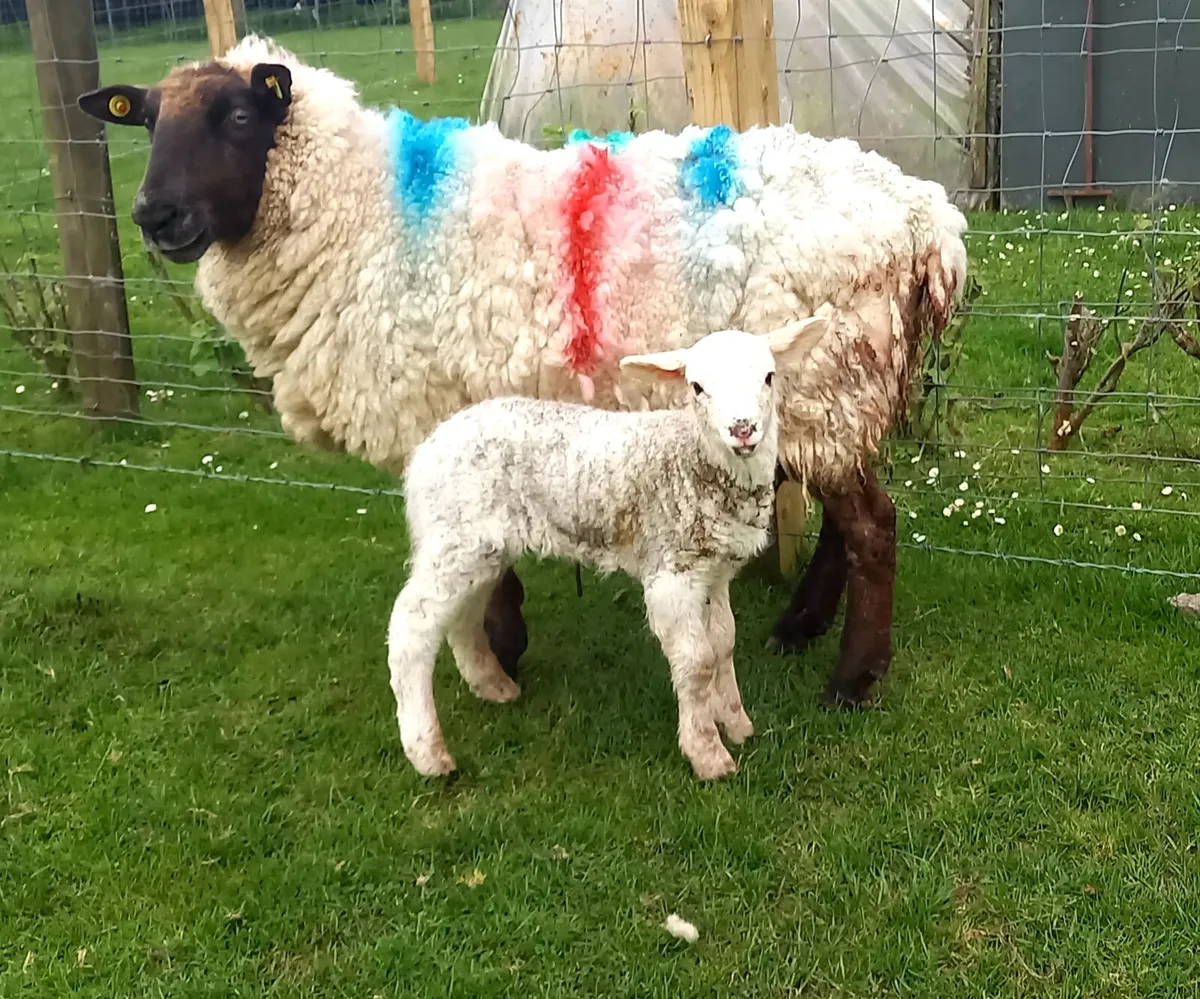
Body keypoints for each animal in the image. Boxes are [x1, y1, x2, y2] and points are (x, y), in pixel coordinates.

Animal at [77, 34, 969, 709]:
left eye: (236, 116)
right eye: (145, 121)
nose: (155, 215)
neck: (364, 218)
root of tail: (928, 218)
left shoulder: (448, 413)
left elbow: (491, 560)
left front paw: (498, 655)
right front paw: (502, 649)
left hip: (831, 378)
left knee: (873, 527)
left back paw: (852, 679)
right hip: (835, 389)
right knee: (846, 523)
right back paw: (797, 629)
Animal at [391, 315, 831, 779]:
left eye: (769, 377)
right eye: (696, 387)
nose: (742, 430)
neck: (691, 460)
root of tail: (426, 450)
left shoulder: (715, 570)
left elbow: (724, 643)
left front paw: (735, 721)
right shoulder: (670, 571)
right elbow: (696, 662)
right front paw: (707, 752)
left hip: (482, 546)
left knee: (463, 614)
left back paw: (492, 685)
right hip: (452, 536)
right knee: (412, 624)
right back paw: (428, 752)